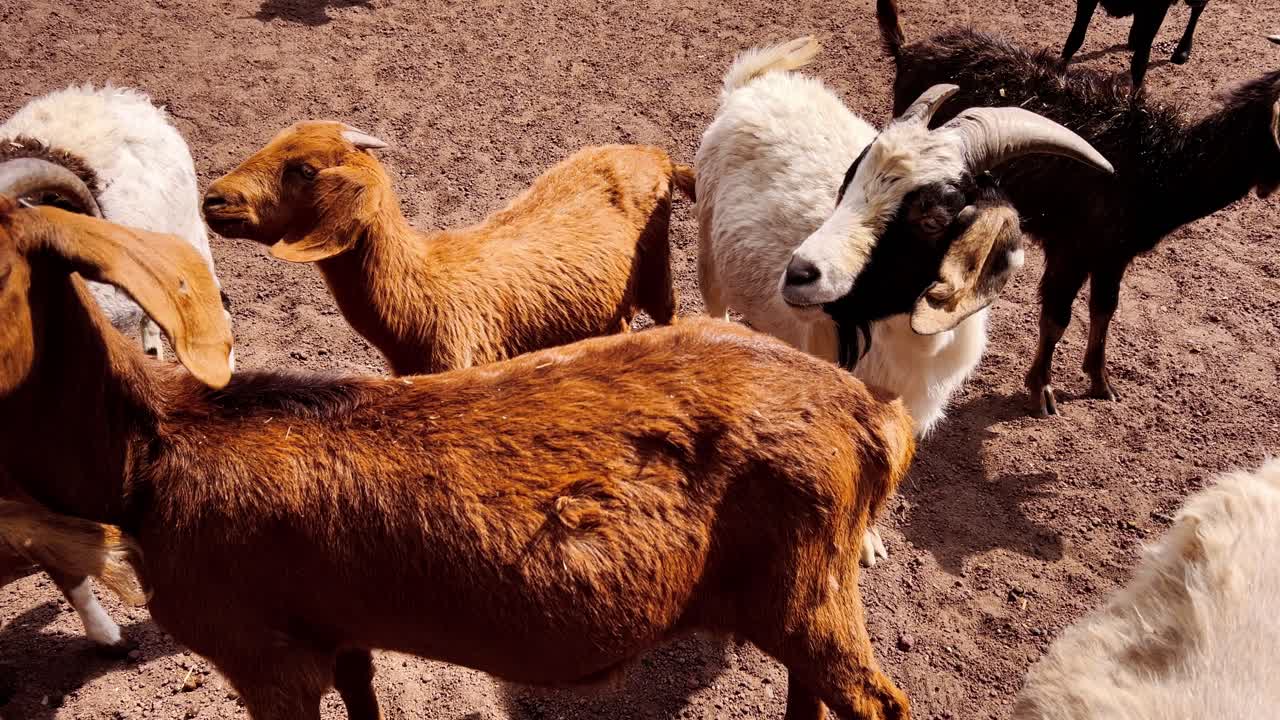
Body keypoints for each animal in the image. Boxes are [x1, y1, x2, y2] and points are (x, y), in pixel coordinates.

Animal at [0, 167, 917, 720]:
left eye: (2, 268)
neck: (154, 457)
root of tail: (870, 413)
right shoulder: (336, 630)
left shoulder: (262, 655)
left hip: (808, 590)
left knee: (877, 701)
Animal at [695, 36, 1112, 565]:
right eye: (848, 184)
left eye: (931, 218)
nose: (800, 273)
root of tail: (752, 86)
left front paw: (868, 539)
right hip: (709, 250)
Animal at [1060, 0, 1212, 94]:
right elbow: (1075, 37)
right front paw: (1059, 75)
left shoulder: (1158, 8)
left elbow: (1140, 62)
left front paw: (1135, 106)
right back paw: (1133, 38)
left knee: (1197, 10)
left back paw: (1182, 51)